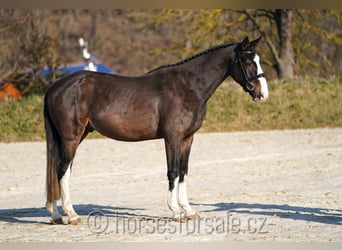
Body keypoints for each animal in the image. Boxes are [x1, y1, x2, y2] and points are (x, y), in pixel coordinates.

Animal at [43, 35, 268, 225]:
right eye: (248, 62)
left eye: (258, 60)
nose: (263, 94)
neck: (188, 87)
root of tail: (55, 87)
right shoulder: (172, 137)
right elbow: (173, 171)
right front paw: (176, 211)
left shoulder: (187, 138)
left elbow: (183, 171)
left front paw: (189, 210)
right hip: (71, 137)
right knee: (62, 170)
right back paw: (71, 215)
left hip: (75, 136)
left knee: (57, 169)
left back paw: (55, 215)